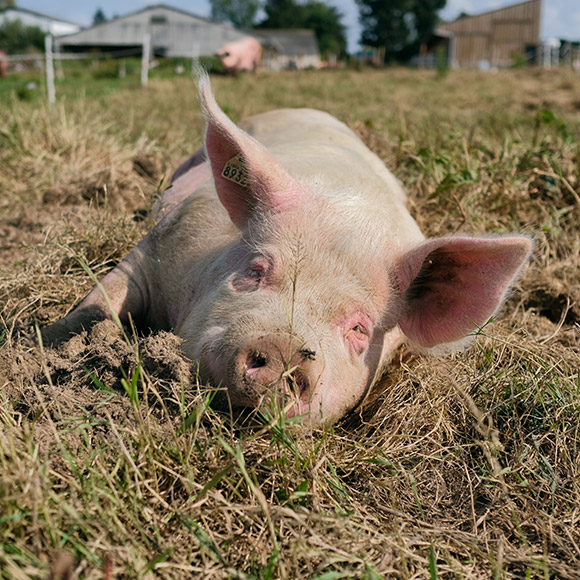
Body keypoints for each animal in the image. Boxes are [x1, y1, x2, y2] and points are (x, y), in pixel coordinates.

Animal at [39, 73, 532, 426]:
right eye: (256, 269)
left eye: (359, 328)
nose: (283, 348)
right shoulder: (158, 247)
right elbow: (99, 305)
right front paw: (47, 343)